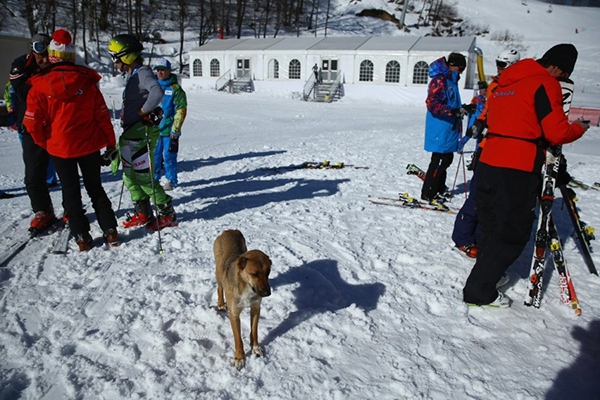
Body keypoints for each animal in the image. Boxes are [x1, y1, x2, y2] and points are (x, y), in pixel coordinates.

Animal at [213, 230, 272, 370]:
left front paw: (255, 348)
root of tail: (229, 230)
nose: (267, 293)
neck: (247, 286)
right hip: (219, 270)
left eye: (268, 272)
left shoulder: (256, 308)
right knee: (219, 287)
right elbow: (238, 339)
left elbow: (254, 331)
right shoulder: (234, 314)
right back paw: (220, 304)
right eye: (255, 274)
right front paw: (239, 358)